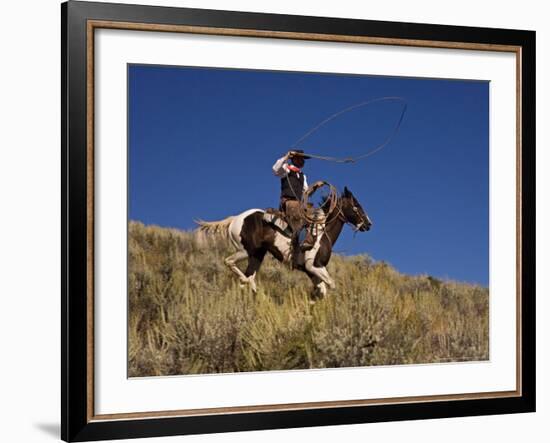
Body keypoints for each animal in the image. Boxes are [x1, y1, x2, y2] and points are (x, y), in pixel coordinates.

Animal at [196, 187, 374, 302]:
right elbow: (331, 284)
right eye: (356, 206)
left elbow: (322, 290)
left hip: (257, 256)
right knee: (231, 264)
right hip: (246, 251)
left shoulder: (312, 271)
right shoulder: (313, 266)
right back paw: (252, 287)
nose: (368, 224)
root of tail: (235, 219)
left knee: (247, 276)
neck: (322, 232)